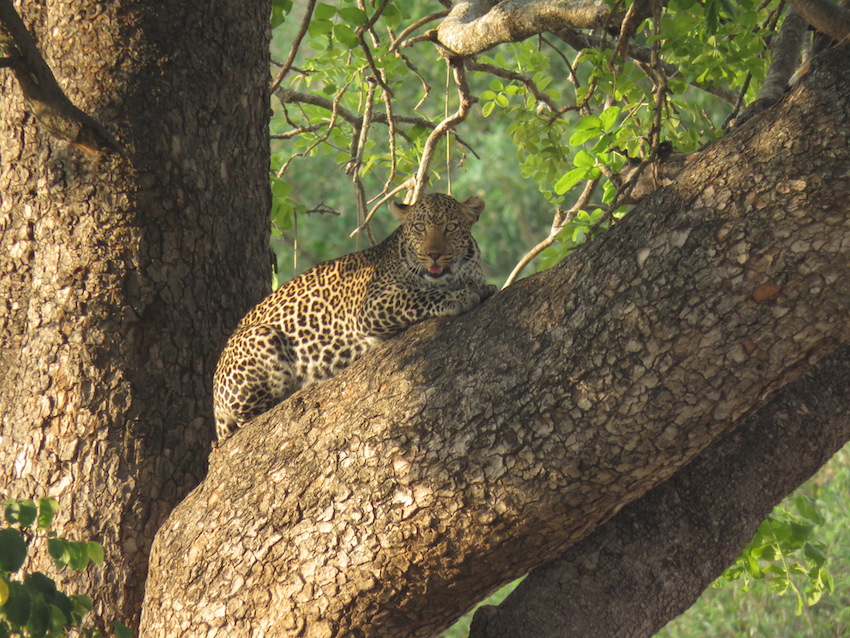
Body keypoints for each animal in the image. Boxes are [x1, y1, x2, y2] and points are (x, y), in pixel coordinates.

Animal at [210, 192, 496, 442]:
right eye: (419, 228)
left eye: (451, 227)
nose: (433, 254)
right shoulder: (375, 304)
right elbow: (421, 296)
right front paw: (460, 297)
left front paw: (481, 288)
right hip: (262, 337)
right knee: (249, 418)